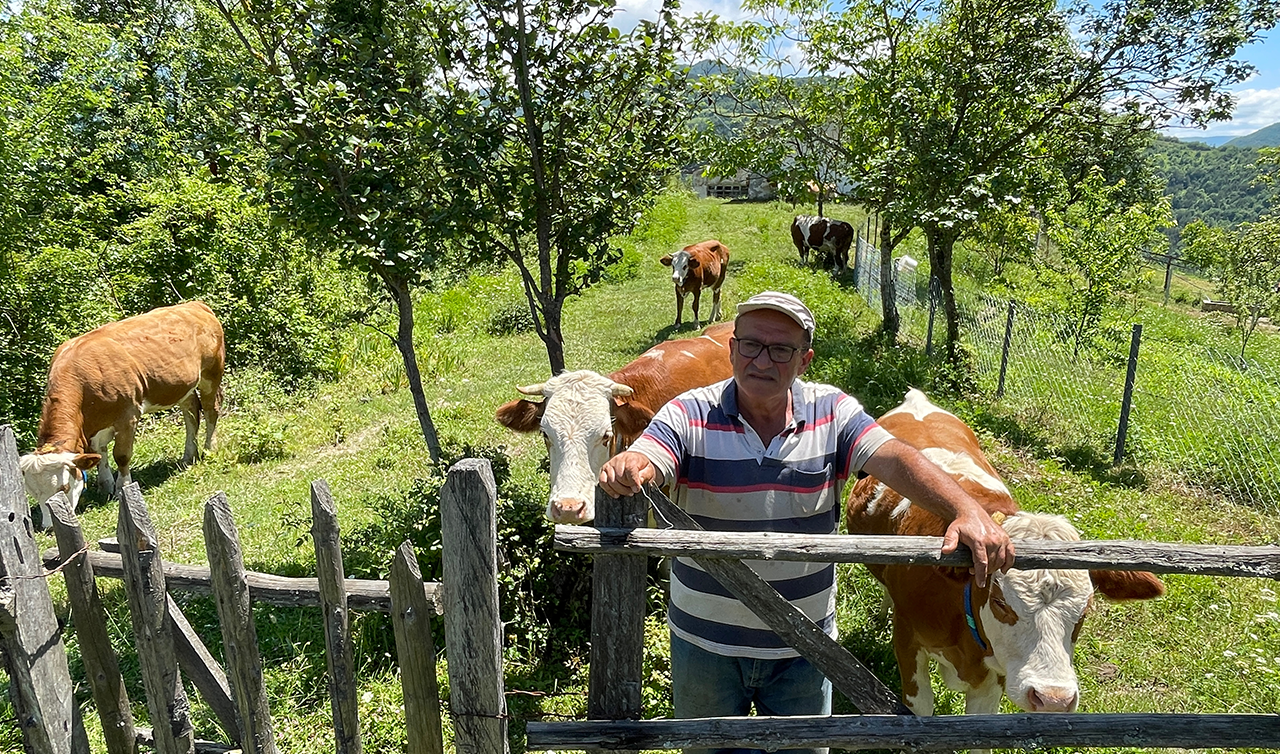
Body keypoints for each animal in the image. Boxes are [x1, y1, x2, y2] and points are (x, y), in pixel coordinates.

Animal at [19, 296, 225, 527]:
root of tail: (194, 305)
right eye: (33, 493)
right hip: (182, 385)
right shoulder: (95, 425)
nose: (48, 527)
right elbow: (99, 453)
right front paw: (105, 484)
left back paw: (209, 449)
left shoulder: (127, 416)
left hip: (211, 373)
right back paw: (188, 456)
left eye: (63, 488)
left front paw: (122, 488)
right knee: (191, 412)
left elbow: (122, 455)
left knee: (210, 410)